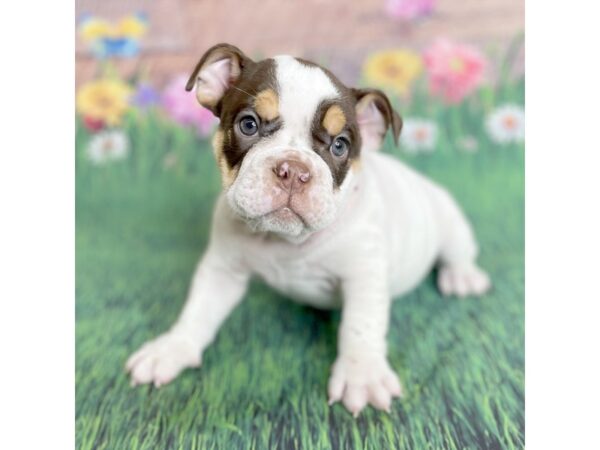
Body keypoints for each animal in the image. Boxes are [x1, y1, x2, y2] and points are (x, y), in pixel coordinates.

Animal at [124, 44, 490, 416]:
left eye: (340, 145)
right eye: (248, 124)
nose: (293, 170)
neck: (285, 241)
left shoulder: (364, 275)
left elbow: (361, 326)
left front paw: (362, 376)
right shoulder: (222, 269)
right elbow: (199, 309)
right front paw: (172, 348)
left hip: (449, 220)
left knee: (458, 252)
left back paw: (462, 276)